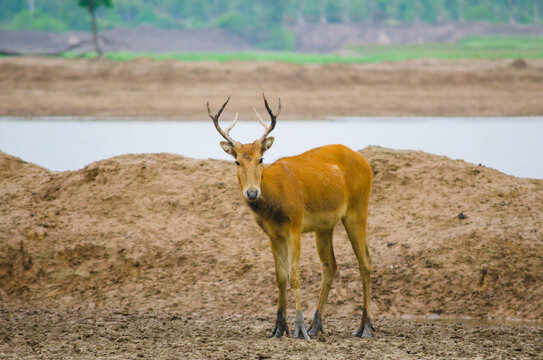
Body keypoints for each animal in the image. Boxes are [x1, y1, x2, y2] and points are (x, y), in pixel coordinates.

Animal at [206, 94, 376, 338]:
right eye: (237, 161)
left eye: (261, 159)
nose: (252, 192)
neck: (275, 204)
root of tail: (366, 163)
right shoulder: (272, 234)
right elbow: (280, 277)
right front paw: (279, 327)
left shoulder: (295, 226)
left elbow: (295, 276)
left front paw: (299, 328)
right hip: (325, 226)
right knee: (330, 265)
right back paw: (317, 324)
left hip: (358, 209)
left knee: (365, 262)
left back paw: (365, 326)